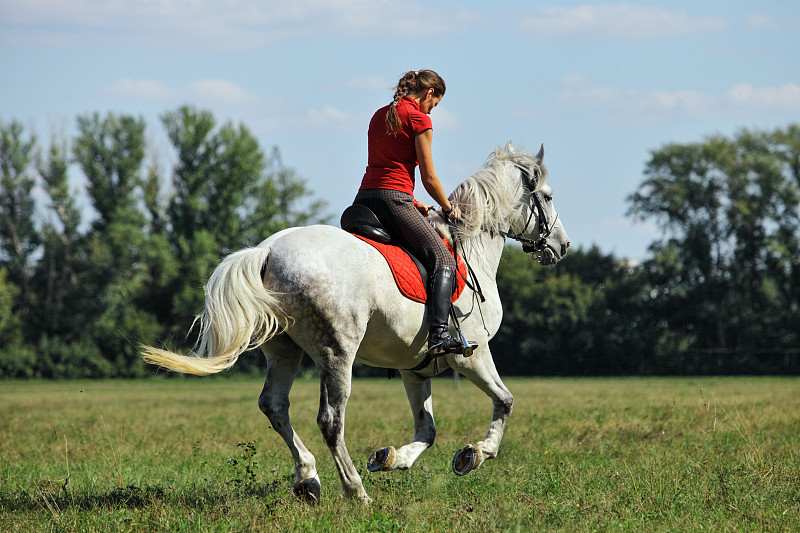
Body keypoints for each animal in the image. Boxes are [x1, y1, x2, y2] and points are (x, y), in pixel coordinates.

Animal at [142, 141, 568, 502]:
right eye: (547, 197)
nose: (561, 246)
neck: (470, 248)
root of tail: (268, 250)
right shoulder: (471, 355)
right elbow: (505, 400)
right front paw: (475, 454)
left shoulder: (415, 368)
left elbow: (427, 429)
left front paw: (392, 458)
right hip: (337, 352)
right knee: (331, 420)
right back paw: (355, 491)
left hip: (285, 349)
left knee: (275, 406)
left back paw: (308, 479)